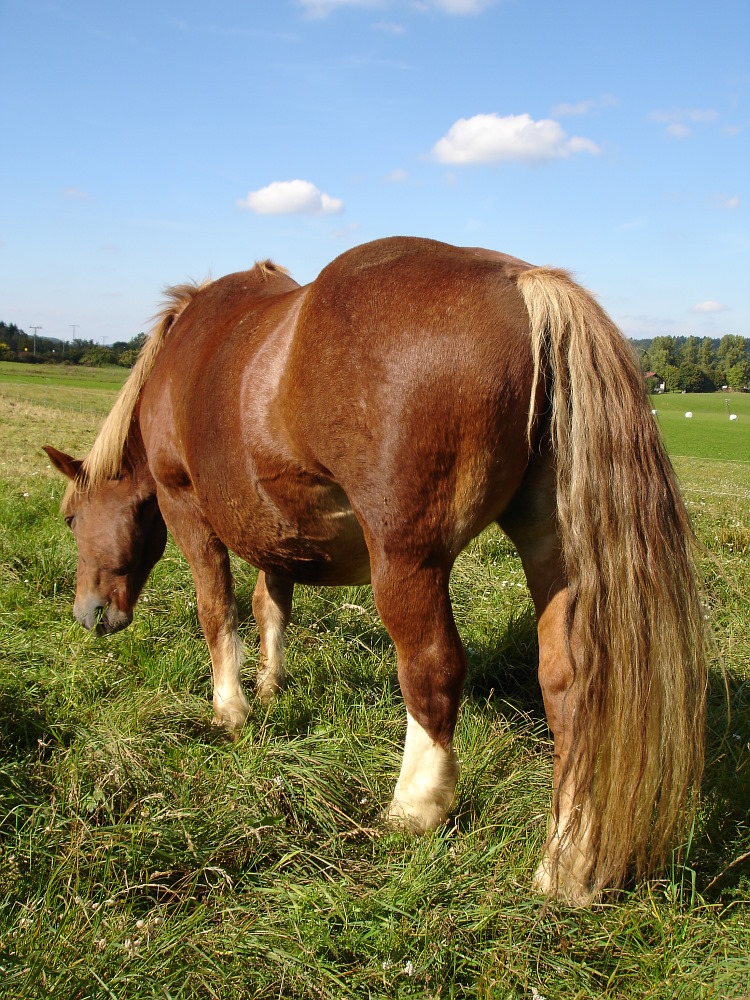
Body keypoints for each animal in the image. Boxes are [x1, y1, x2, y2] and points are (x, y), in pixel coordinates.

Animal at [42, 238, 712, 904]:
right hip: (554, 550)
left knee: (433, 669)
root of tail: (522, 282)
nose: (88, 614)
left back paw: (413, 807)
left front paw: (231, 709)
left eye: (71, 517)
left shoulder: (187, 508)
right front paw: (271, 685)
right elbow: (270, 606)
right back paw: (566, 862)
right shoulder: (275, 528)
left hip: (406, 560)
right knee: (570, 686)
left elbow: (217, 613)